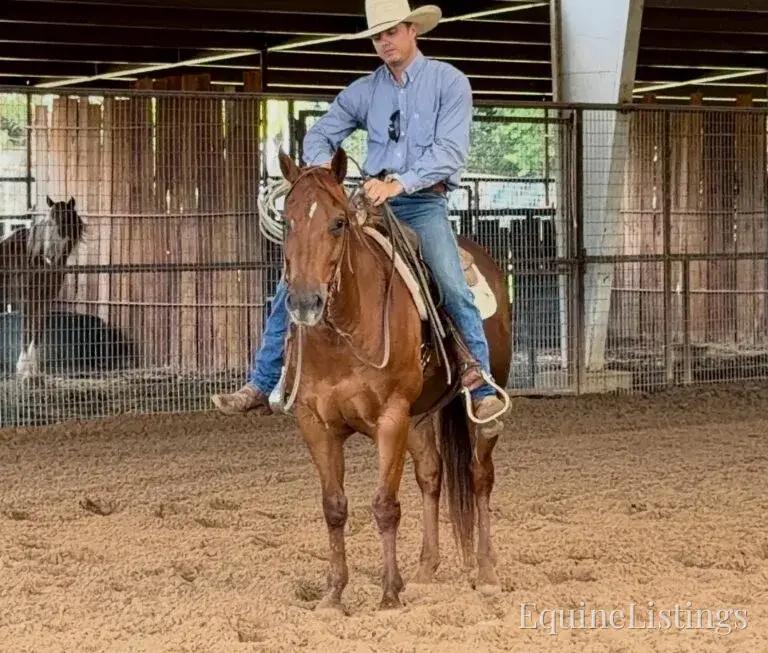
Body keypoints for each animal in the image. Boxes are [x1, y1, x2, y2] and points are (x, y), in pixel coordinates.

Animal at [0, 196, 86, 381]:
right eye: (48, 222)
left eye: (66, 219)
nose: (49, 256)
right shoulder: (26, 301)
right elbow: (26, 332)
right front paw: (24, 370)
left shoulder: (44, 302)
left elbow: (38, 333)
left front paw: (34, 370)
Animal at [271, 148, 512, 613]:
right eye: (288, 221)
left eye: (338, 222)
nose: (305, 302)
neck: (345, 335)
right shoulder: (315, 423)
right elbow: (334, 507)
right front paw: (334, 594)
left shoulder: (390, 418)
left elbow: (385, 506)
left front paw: (387, 595)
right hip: (419, 419)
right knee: (432, 476)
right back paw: (425, 571)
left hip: (475, 411)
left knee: (480, 475)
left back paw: (488, 572)